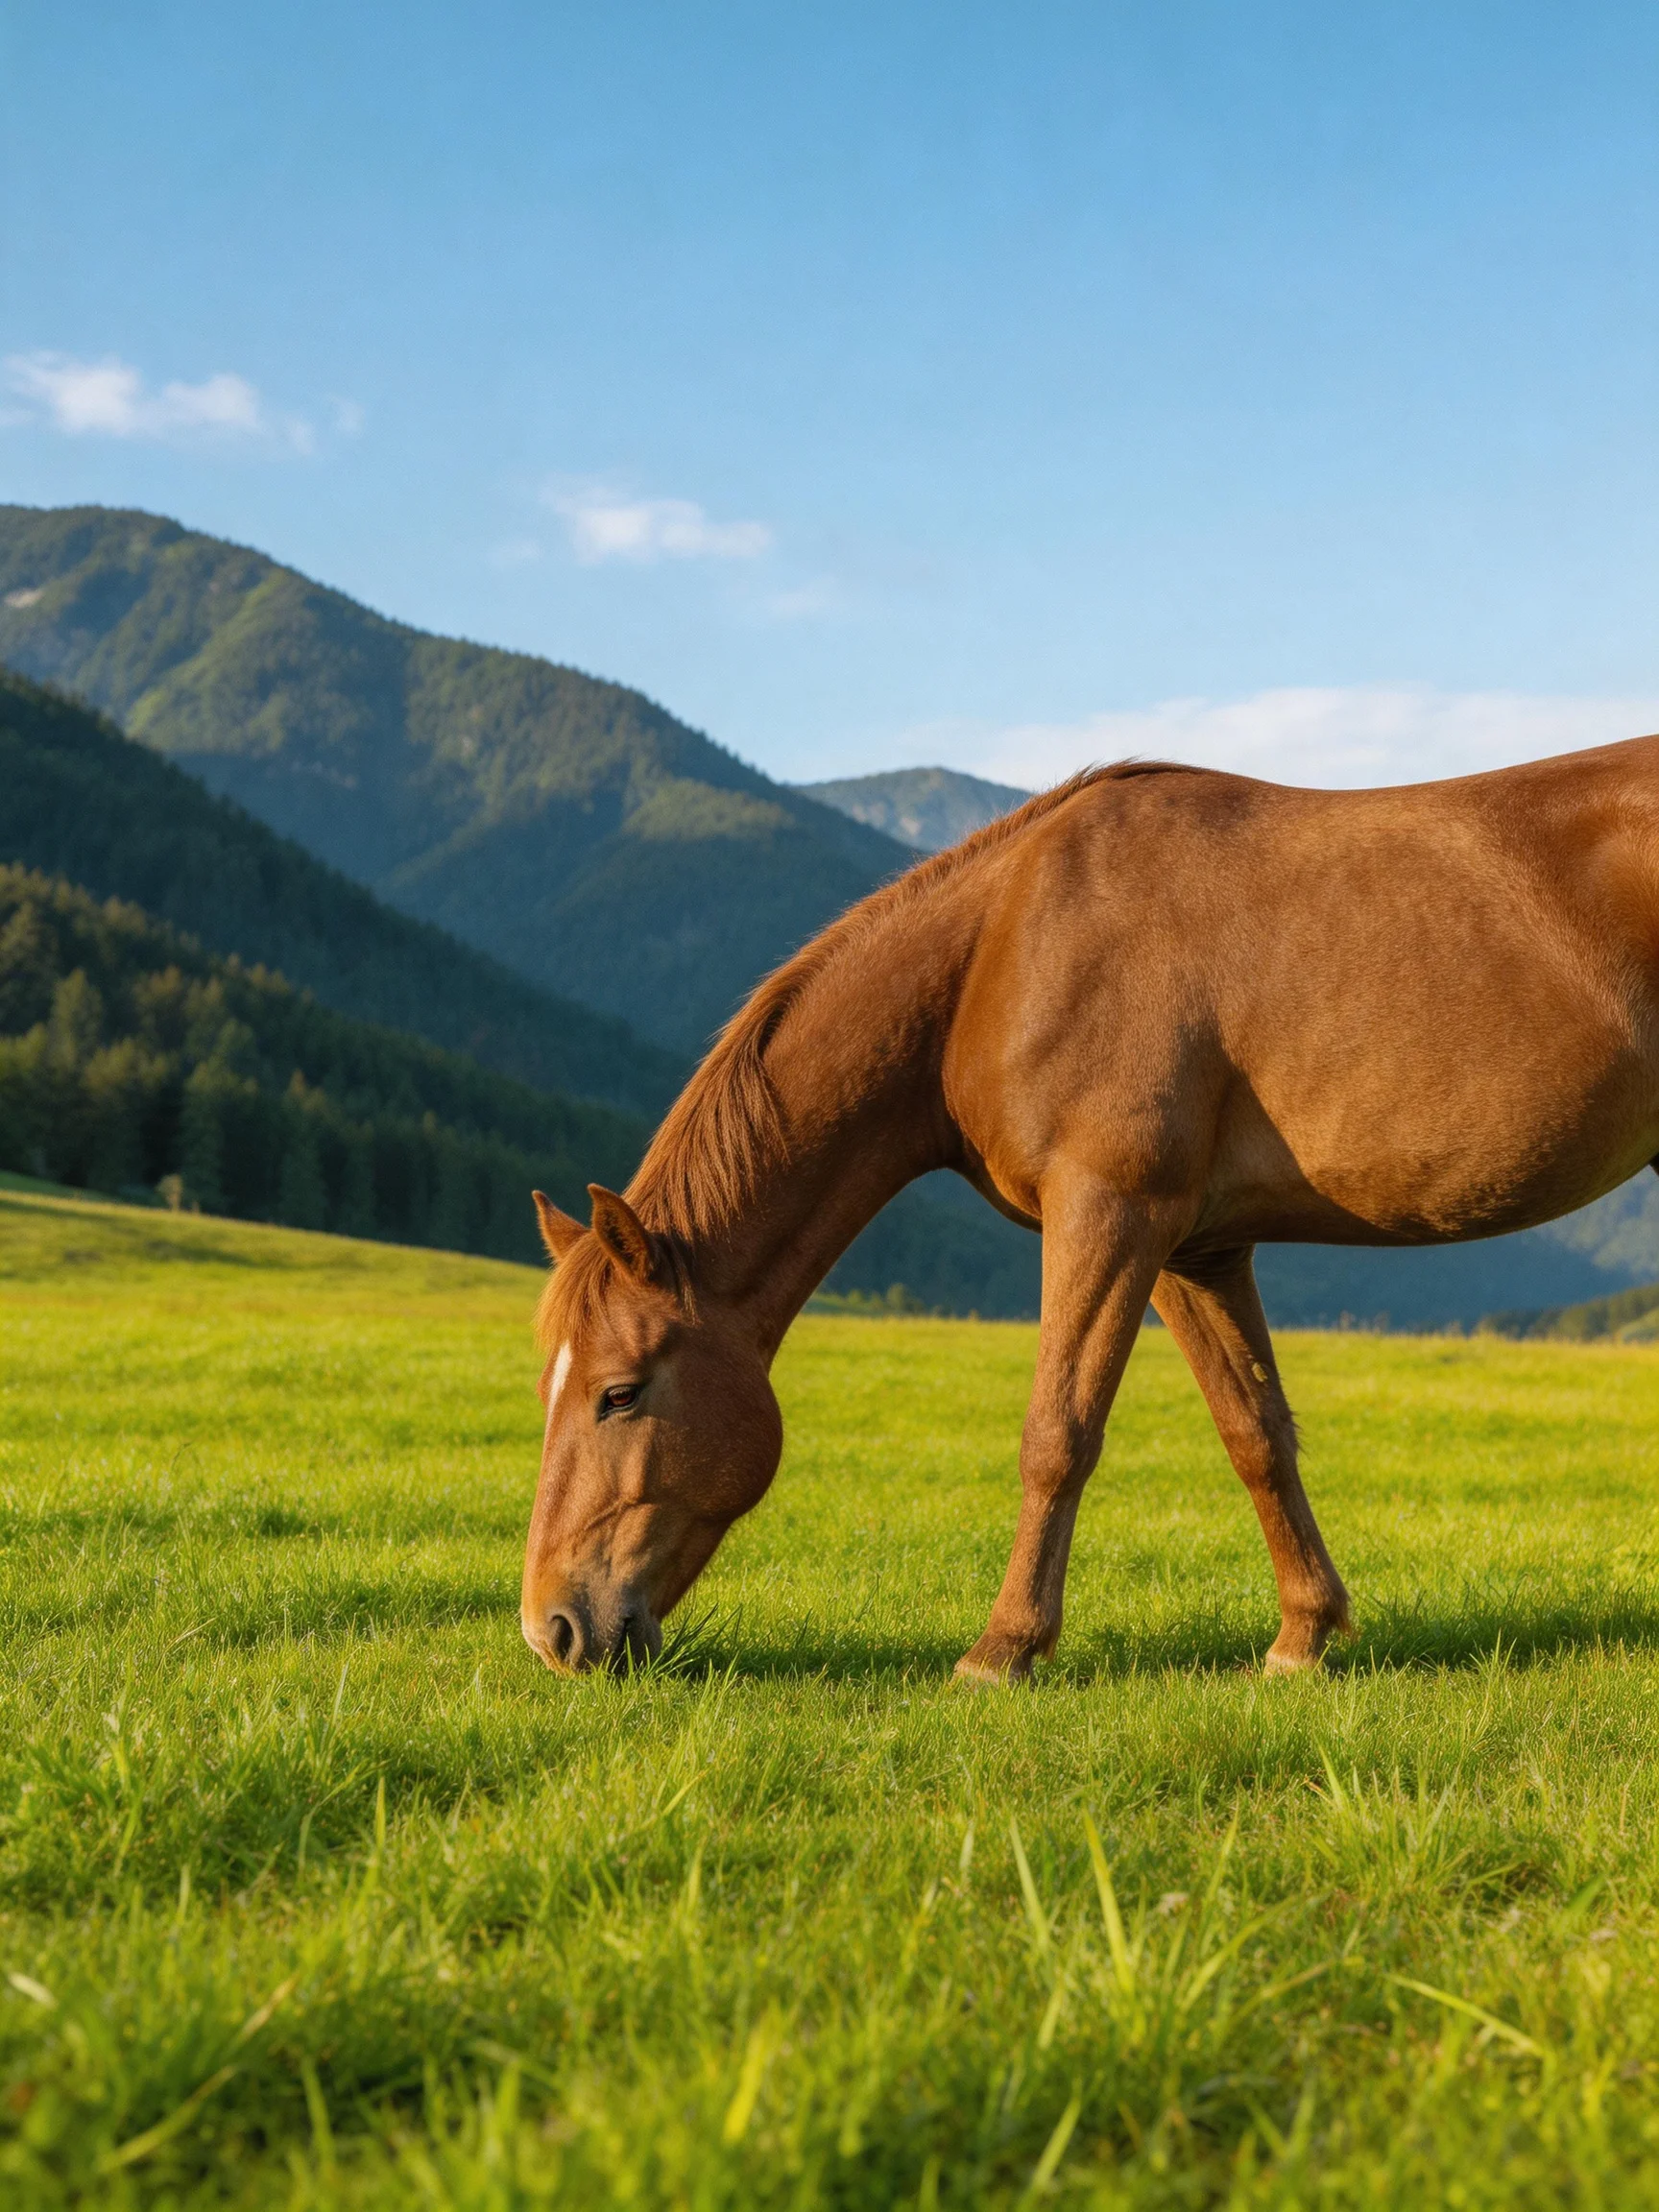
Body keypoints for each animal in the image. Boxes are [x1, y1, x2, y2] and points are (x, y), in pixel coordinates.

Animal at [522, 740, 1659, 1681]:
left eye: (618, 1394)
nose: (553, 1629)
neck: (1004, 946)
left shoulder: (1110, 1214)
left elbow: (1057, 1433)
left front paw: (1003, 1650)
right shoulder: (1197, 1248)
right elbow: (1256, 1434)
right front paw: (1301, 1637)